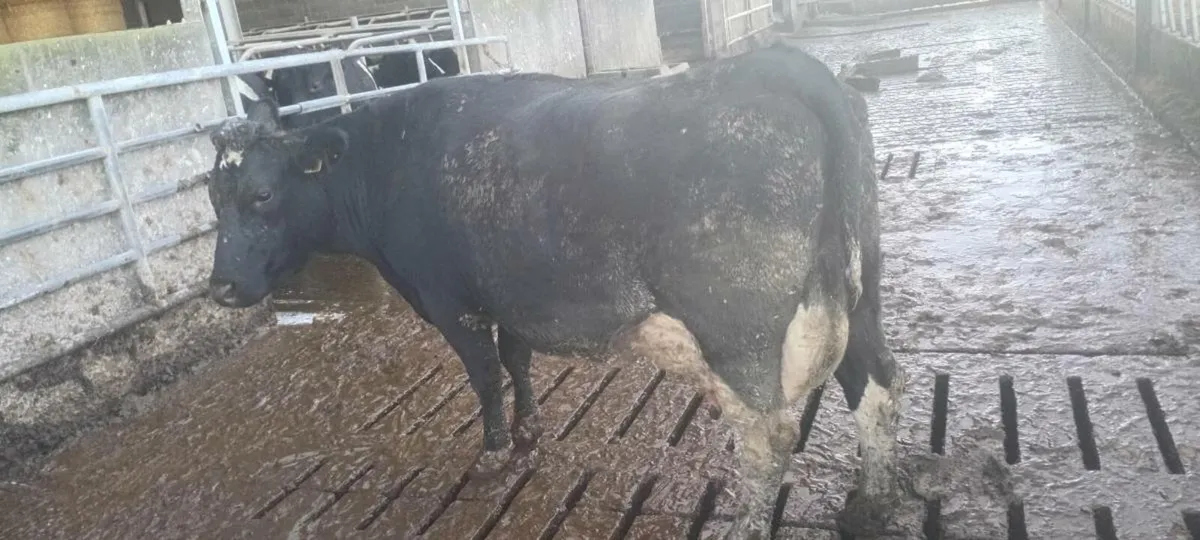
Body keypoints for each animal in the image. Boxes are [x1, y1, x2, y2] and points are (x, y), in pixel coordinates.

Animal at [204, 41, 907, 539]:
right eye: (213, 195)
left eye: (261, 194)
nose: (221, 287)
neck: (385, 164)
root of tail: (781, 64)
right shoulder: (513, 297)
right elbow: (516, 360)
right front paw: (530, 432)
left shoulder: (451, 303)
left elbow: (485, 376)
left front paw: (493, 456)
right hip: (861, 288)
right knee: (876, 380)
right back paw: (871, 506)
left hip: (736, 328)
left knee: (768, 437)